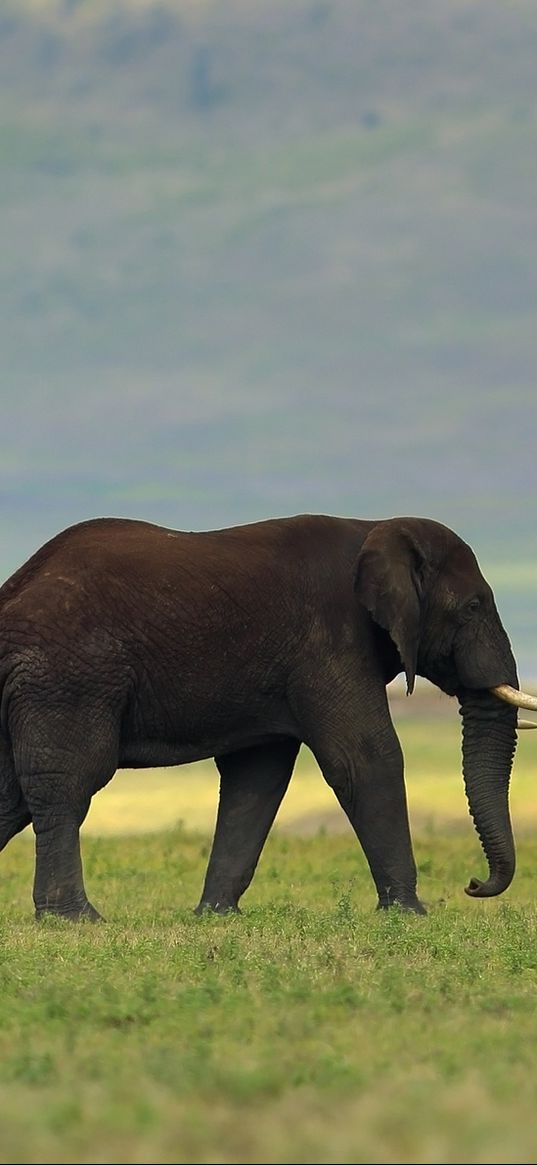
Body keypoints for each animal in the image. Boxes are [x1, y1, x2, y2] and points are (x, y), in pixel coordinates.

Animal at [1, 510, 535, 918]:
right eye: (473, 606)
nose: (473, 885)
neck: (374, 528)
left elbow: (256, 780)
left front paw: (215, 917)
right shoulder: (330, 643)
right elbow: (365, 759)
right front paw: (408, 914)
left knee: (14, 795)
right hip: (68, 677)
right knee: (68, 785)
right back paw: (75, 919)